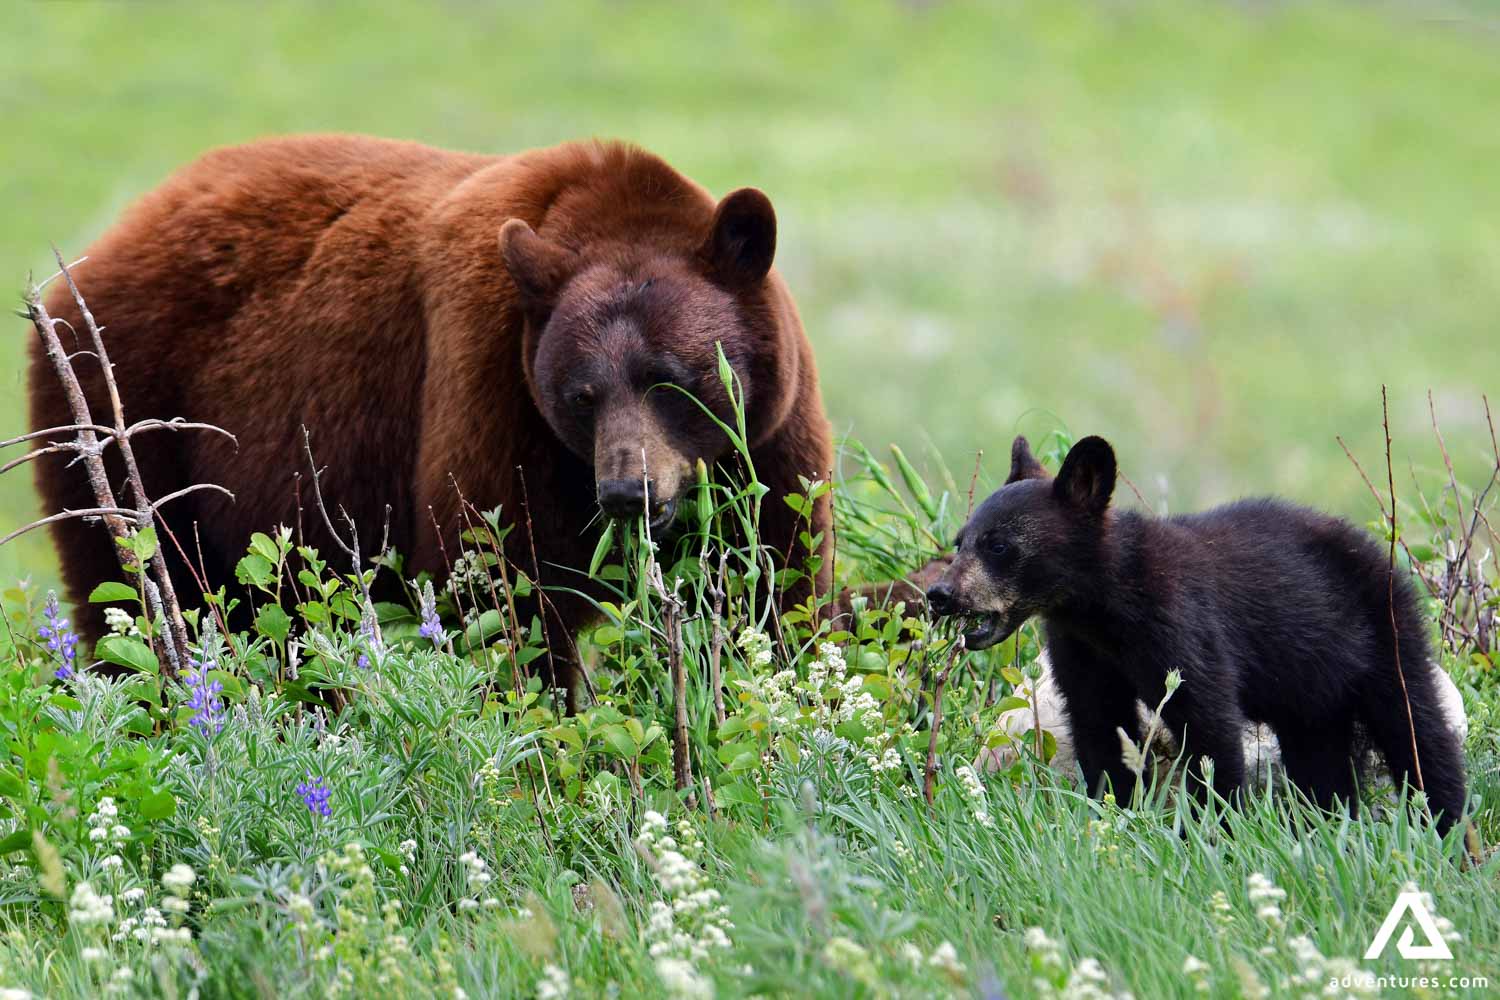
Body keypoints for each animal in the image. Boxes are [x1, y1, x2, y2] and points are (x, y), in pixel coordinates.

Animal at [28, 135, 833, 700]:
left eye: (669, 380)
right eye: (581, 394)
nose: (626, 492)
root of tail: (114, 236)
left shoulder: (765, 440)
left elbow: (778, 575)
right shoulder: (489, 385)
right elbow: (497, 587)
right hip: (130, 412)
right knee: (132, 589)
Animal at [925, 434, 1467, 833]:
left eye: (998, 546)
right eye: (960, 540)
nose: (939, 594)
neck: (1105, 606)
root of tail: (1380, 550)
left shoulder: (1182, 622)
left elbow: (1207, 723)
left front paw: (1217, 829)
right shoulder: (1080, 651)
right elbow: (1099, 726)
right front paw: (1116, 811)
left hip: (1385, 634)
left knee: (1416, 729)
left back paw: (1447, 830)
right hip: (1311, 693)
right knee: (1321, 762)